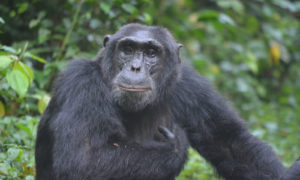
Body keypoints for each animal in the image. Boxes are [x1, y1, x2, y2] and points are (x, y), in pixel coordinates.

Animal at [35, 23, 286, 180]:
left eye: (151, 52)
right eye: (127, 49)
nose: (135, 67)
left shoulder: (191, 87)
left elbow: (231, 142)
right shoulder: (81, 82)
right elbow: (85, 160)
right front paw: (175, 147)